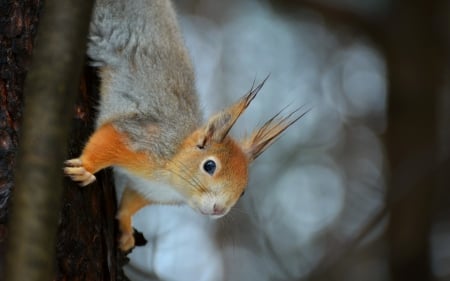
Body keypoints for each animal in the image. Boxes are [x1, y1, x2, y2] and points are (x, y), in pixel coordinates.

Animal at [63, 0, 304, 252]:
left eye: (244, 189)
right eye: (209, 166)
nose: (219, 209)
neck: (170, 178)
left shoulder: (147, 189)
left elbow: (130, 201)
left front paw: (126, 230)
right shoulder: (140, 137)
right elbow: (107, 139)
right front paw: (85, 167)